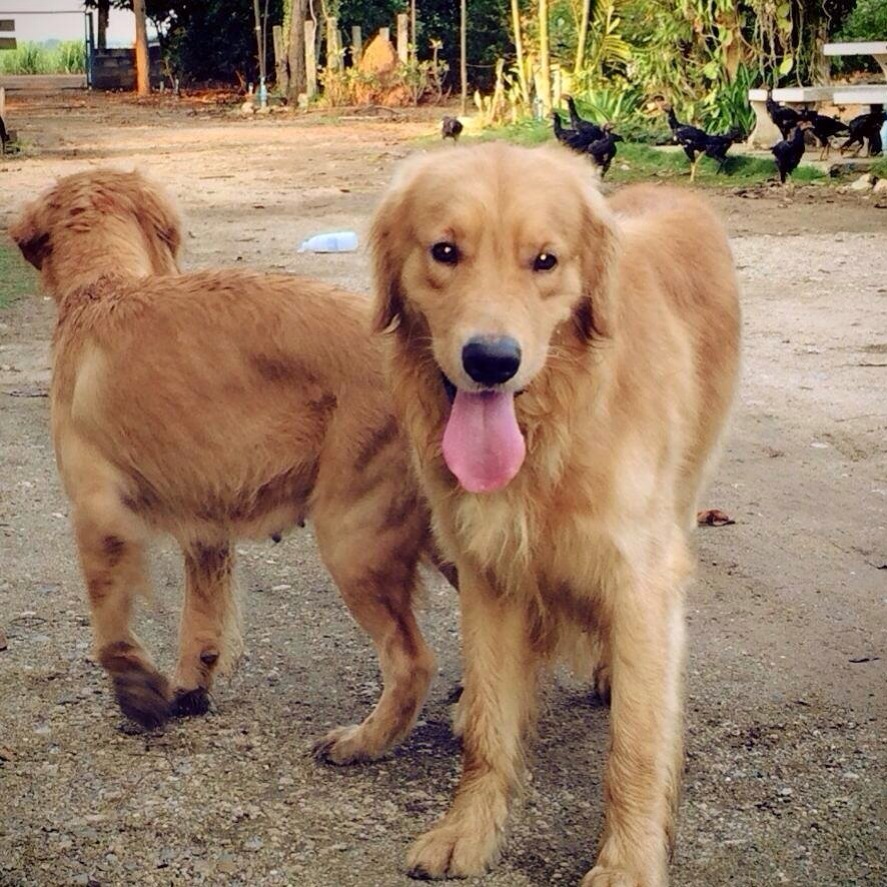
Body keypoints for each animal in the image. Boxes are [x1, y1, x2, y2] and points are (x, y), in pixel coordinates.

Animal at [10, 168, 450, 763]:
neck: (105, 288)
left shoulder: (97, 511)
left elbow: (109, 626)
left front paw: (136, 691)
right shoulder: (206, 524)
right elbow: (202, 618)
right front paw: (189, 686)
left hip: (355, 536)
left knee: (412, 661)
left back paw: (363, 742)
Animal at [369, 142, 741, 884]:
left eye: (544, 260)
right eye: (445, 250)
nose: (491, 360)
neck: (554, 429)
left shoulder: (641, 576)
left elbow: (635, 745)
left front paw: (629, 861)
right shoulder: (487, 574)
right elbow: (490, 726)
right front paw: (468, 830)